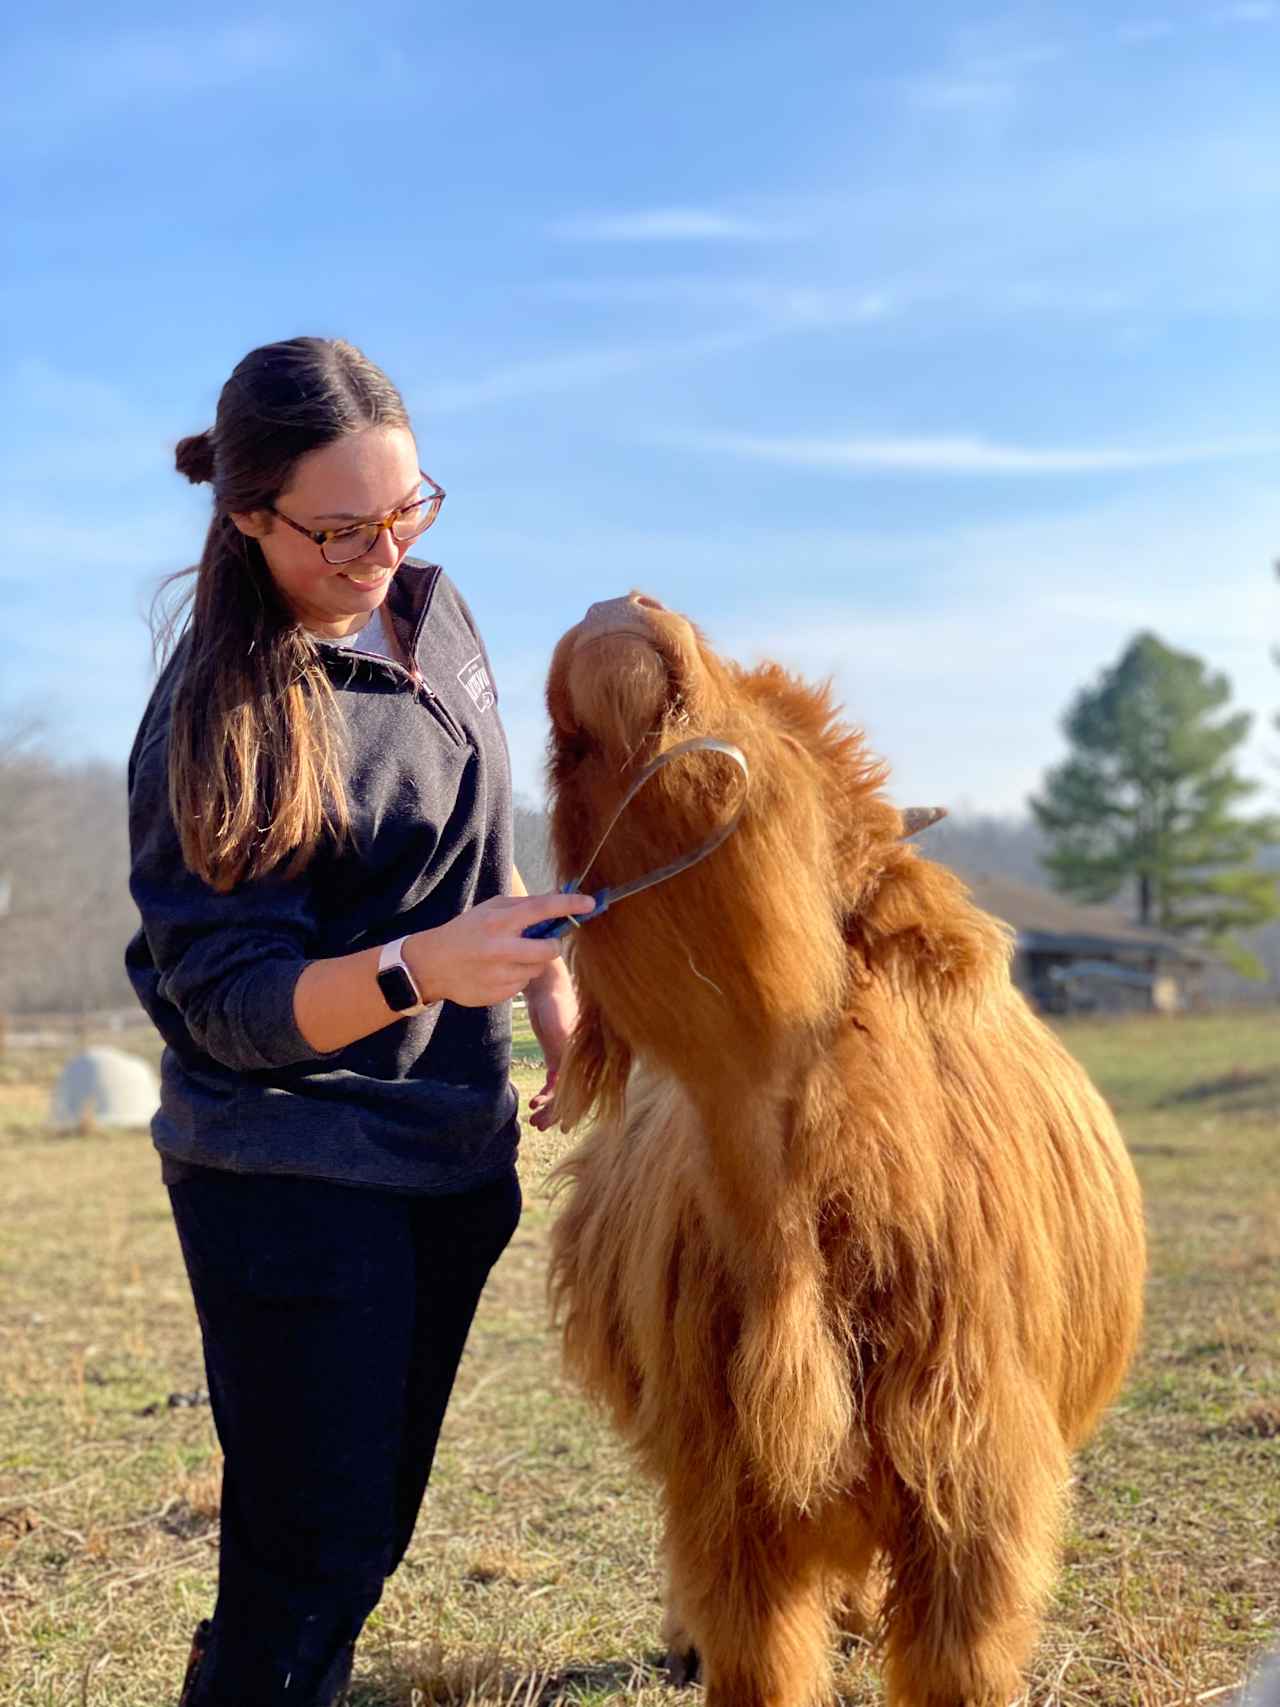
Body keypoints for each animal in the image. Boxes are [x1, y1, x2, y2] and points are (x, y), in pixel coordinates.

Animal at [546, 594, 1146, 1700]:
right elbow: (756, 1662)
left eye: (796, 734)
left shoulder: (976, 1491)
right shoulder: (724, 1495)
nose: (620, 608)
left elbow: (957, 1668)